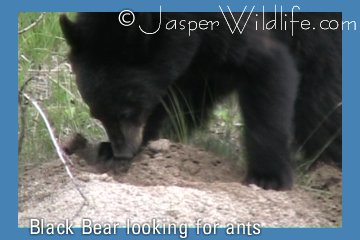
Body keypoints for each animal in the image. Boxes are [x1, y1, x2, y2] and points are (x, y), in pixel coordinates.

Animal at [60, 12, 342, 190]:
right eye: (97, 114)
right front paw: (114, 149)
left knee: (320, 103)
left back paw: (328, 167)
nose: (123, 151)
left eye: (127, 110)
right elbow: (177, 102)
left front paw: (267, 177)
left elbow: (267, 64)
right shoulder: (193, 59)